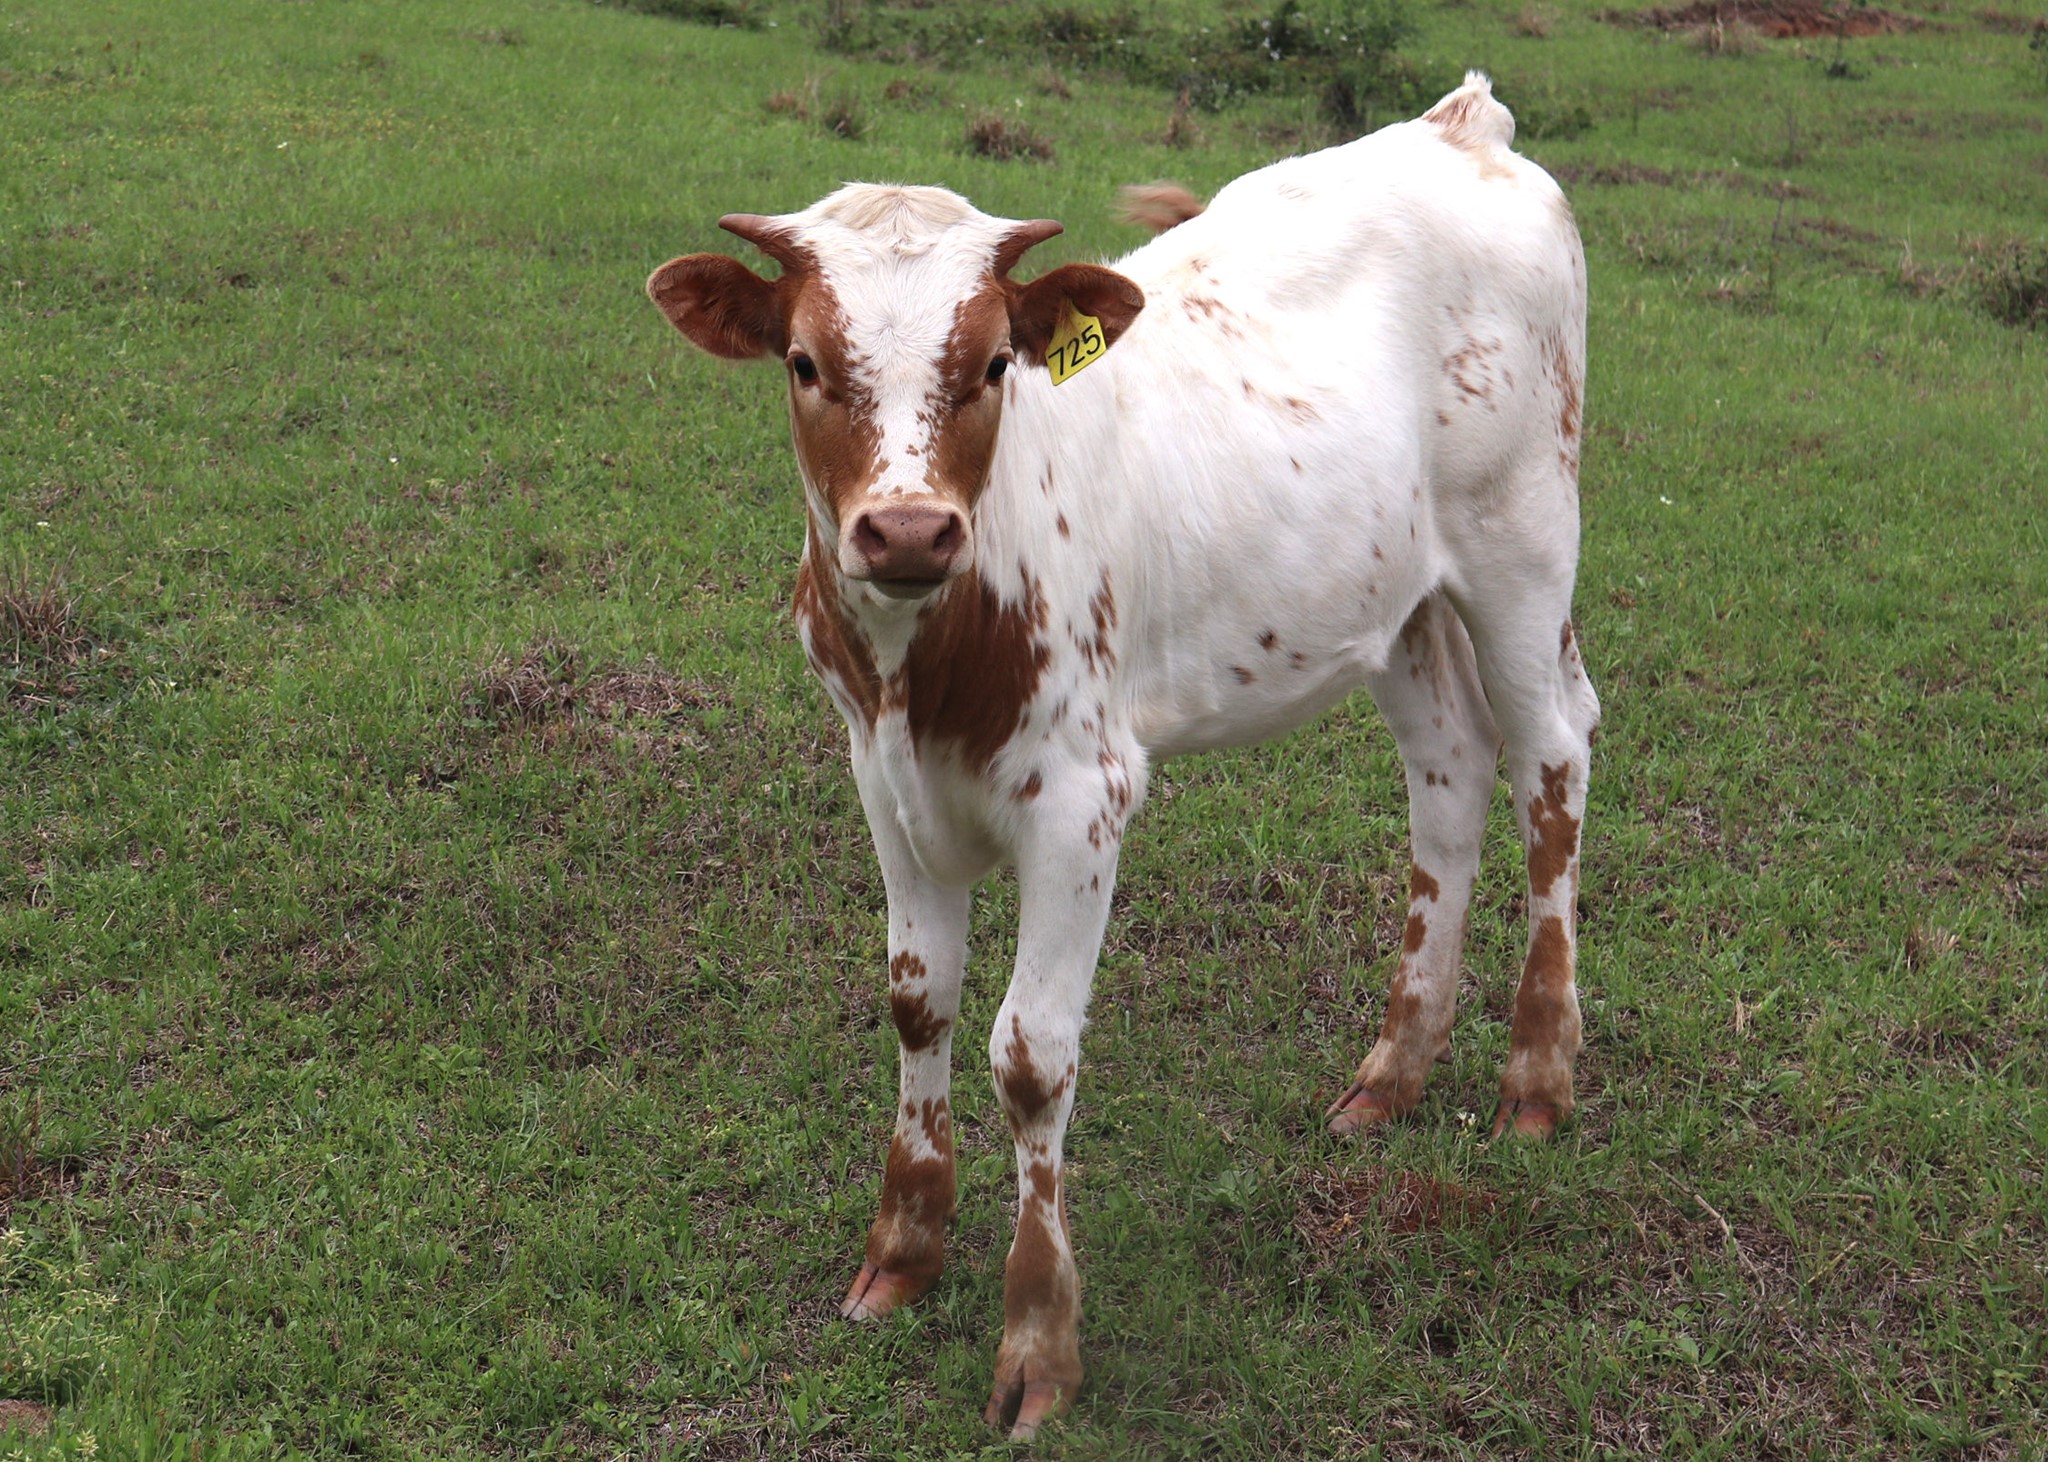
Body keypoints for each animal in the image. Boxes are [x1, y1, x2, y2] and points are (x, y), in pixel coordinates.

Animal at [646, 72, 1599, 1439]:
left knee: (1551, 758)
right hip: (1394, 595)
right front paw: (901, 1253)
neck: (922, 660)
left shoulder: (1081, 794)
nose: (905, 529)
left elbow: (1030, 1055)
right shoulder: (879, 775)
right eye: (804, 362)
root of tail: (1457, 124)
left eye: (993, 360)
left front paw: (1037, 1342)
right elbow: (915, 998)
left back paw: (1535, 1076)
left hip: (1522, 538)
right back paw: (1392, 1069)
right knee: (1452, 767)